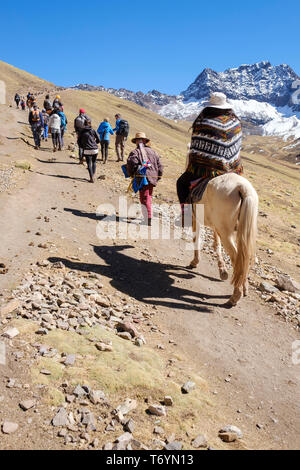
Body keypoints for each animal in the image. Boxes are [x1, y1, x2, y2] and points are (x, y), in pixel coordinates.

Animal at [190, 171, 258, 306]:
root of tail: (242, 187)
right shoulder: (217, 227)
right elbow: (216, 244)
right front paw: (222, 271)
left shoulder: (196, 218)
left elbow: (197, 239)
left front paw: (195, 262)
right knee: (244, 258)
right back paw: (244, 288)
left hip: (226, 233)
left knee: (238, 258)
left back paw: (235, 296)